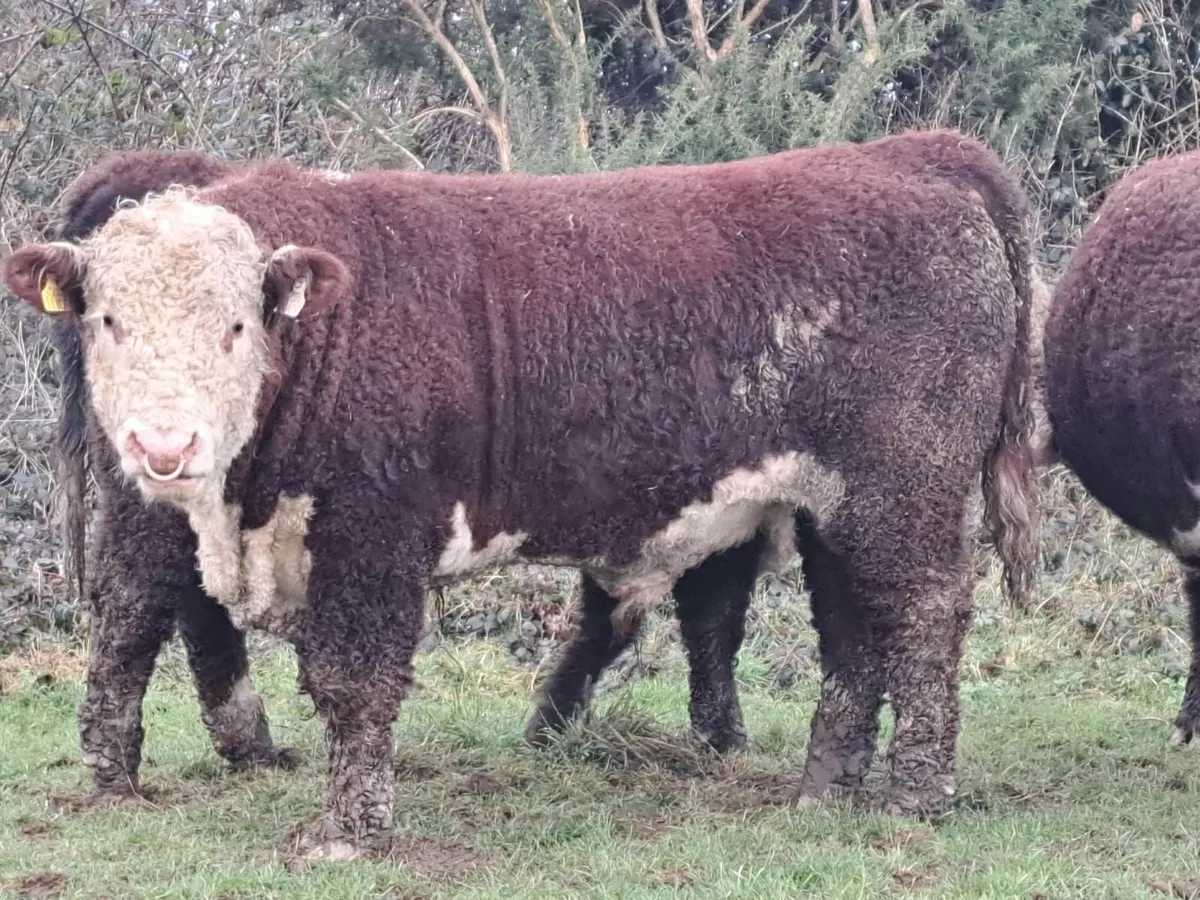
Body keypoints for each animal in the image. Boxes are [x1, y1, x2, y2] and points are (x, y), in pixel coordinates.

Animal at [4, 129, 1037, 859]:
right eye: (107, 319)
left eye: (234, 326)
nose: (165, 443)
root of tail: (910, 155)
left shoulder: (376, 533)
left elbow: (354, 679)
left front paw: (350, 833)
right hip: (836, 506)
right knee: (852, 630)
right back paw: (824, 790)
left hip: (904, 491)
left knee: (924, 615)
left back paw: (912, 800)